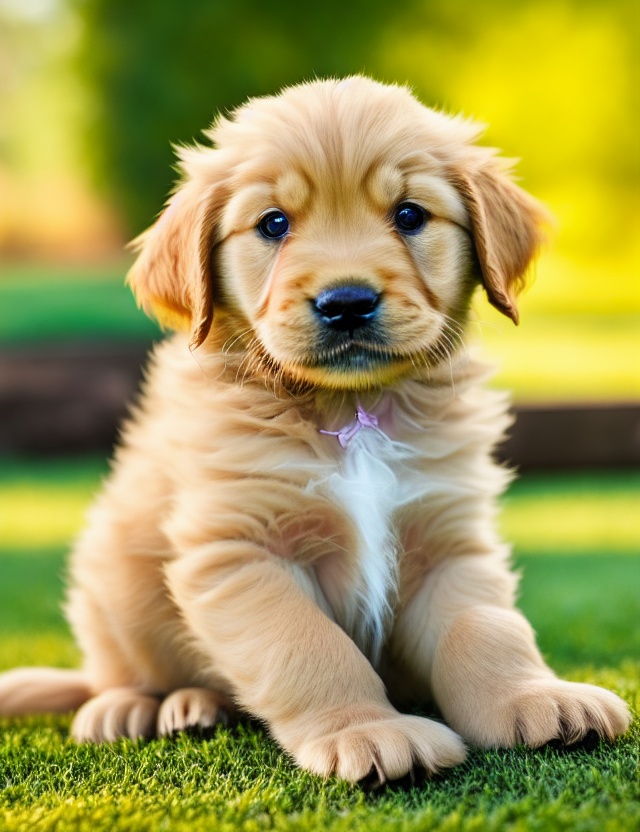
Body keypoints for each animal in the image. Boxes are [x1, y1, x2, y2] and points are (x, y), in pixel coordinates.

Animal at [0, 75, 632, 784]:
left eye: (409, 215)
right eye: (274, 223)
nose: (347, 302)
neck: (350, 412)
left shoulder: (450, 541)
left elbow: (487, 628)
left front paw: (533, 699)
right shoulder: (241, 549)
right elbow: (307, 647)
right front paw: (365, 730)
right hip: (110, 583)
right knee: (113, 671)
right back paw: (139, 706)